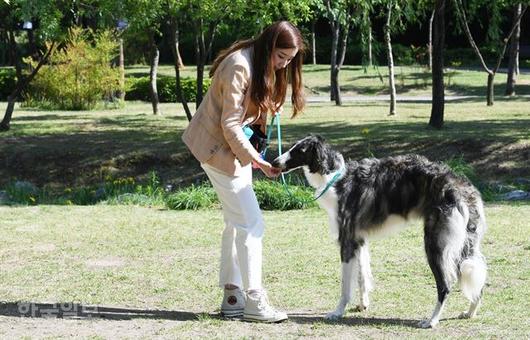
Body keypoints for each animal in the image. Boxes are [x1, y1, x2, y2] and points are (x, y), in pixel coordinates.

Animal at [272, 134, 486, 328]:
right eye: (294, 146)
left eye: (299, 150)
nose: (274, 162)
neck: (336, 177)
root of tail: (459, 186)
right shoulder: (359, 240)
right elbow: (362, 277)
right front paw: (363, 305)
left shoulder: (346, 241)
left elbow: (345, 286)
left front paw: (337, 312)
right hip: (464, 244)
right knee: (478, 280)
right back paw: (470, 313)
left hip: (435, 244)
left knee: (445, 285)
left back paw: (431, 321)